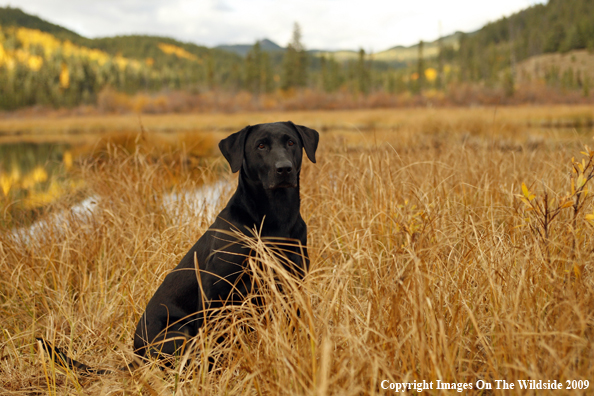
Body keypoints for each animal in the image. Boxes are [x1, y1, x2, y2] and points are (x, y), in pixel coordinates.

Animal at [38, 120, 316, 372]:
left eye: (291, 142)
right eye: (260, 146)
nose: (284, 169)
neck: (275, 218)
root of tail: (137, 355)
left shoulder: (292, 282)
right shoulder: (216, 290)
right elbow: (219, 338)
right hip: (178, 332)